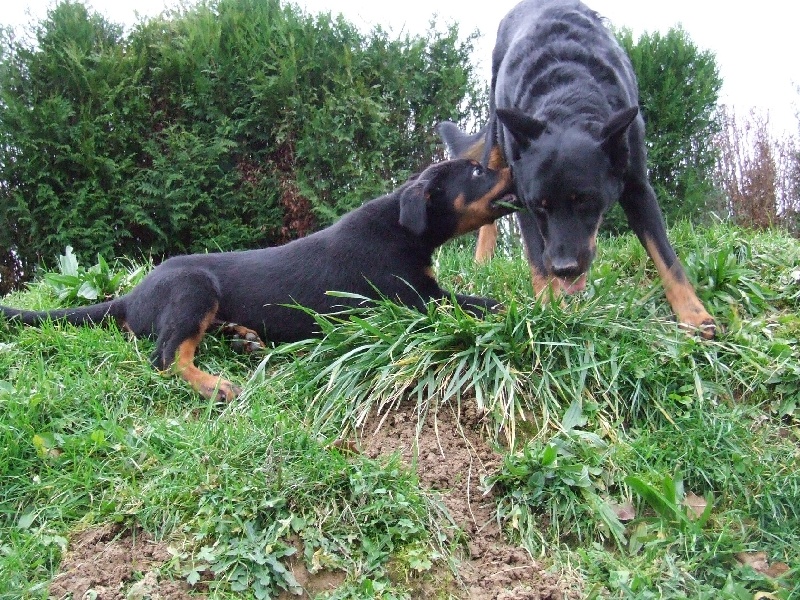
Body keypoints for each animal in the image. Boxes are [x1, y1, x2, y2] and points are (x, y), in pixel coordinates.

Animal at [1, 159, 512, 404]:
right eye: (476, 170)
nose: (514, 161)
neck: (403, 229)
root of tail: (130, 296)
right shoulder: (413, 299)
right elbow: (475, 303)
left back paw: (243, 337)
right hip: (193, 288)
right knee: (167, 358)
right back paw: (215, 385)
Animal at [438, 0, 720, 338]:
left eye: (585, 201)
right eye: (540, 206)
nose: (566, 268)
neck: (566, 100)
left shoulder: (638, 186)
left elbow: (666, 256)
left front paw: (694, 314)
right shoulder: (523, 197)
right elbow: (537, 259)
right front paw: (549, 309)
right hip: (497, 127)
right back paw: (482, 261)